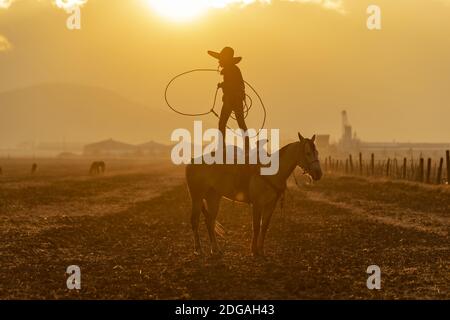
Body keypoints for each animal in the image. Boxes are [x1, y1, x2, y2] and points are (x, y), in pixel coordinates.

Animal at [185, 133, 322, 258]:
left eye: (317, 152)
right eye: (308, 153)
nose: (318, 173)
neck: (271, 172)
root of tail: (191, 162)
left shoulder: (270, 205)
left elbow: (264, 226)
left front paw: (261, 250)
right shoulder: (257, 204)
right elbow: (255, 226)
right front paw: (254, 251)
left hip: (213, 197)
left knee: (209, 221)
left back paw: (215, 249)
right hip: (197, 197)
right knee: (195, 221)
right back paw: (198, 250)